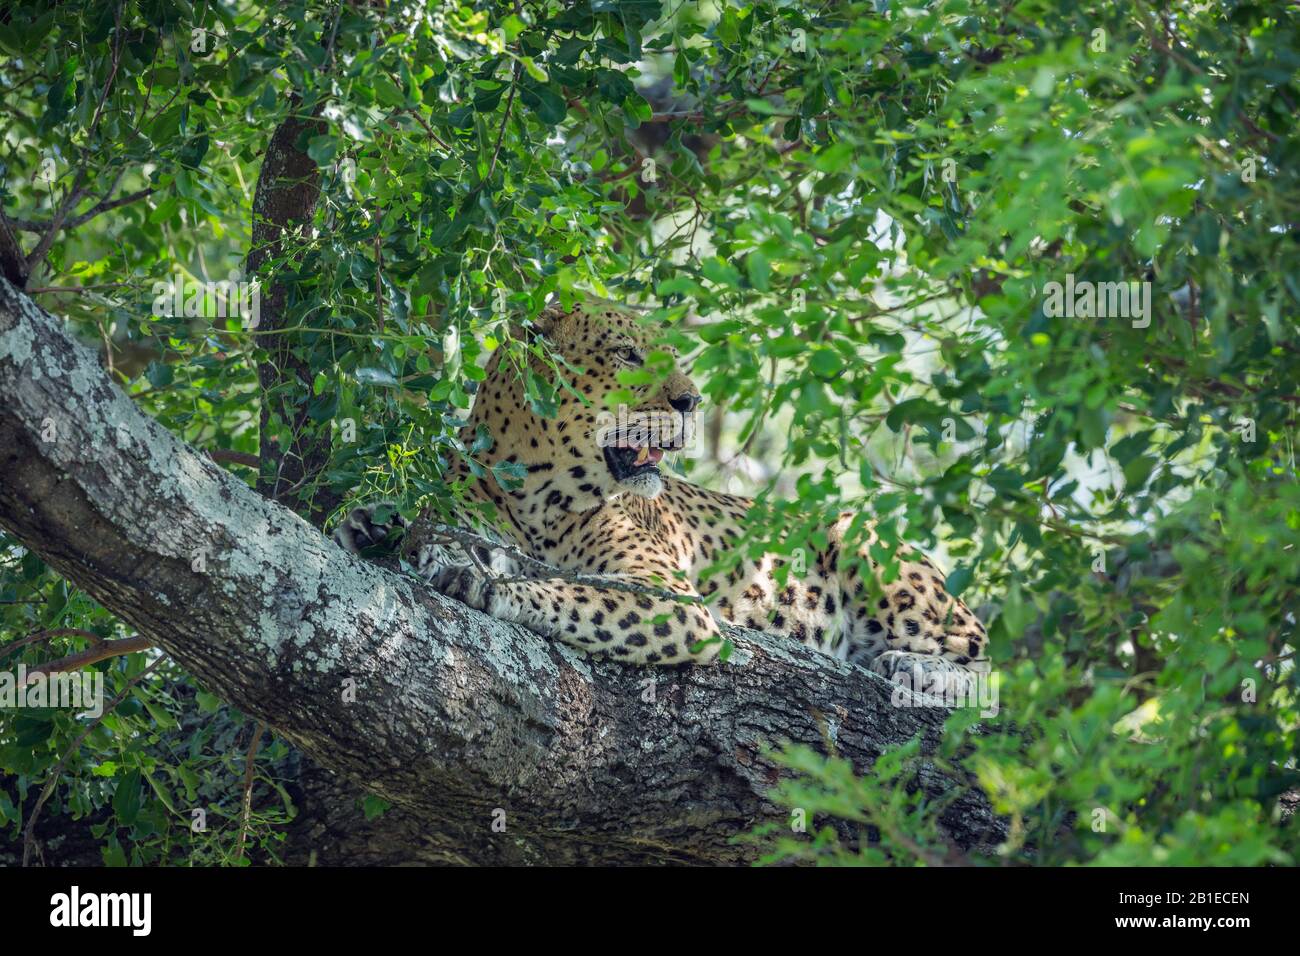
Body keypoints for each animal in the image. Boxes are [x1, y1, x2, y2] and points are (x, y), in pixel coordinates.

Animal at [333, 297, 991, 695]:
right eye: (627, 355)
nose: (690, 401)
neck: (536, 493)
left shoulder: (677, 603)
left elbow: (578, 595)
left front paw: (486, 584)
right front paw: (376, 524)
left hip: (868, 544)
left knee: (988, 669)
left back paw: (915, 665)